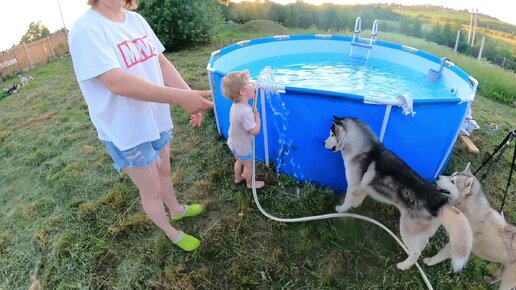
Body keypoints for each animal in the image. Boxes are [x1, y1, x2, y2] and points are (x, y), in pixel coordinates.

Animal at [324, 116, 474, 270]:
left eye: (332, 134)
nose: (323, 143)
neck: (365, 150)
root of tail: (440, 203)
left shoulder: (353, 185)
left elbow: (347, 200)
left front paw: (341, 209)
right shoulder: (362, 187)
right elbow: (359, 198)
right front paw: (355, 206)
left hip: (407, 229)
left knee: (416, 253)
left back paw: (403, 265)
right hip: (419, 232)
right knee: (423, 243)